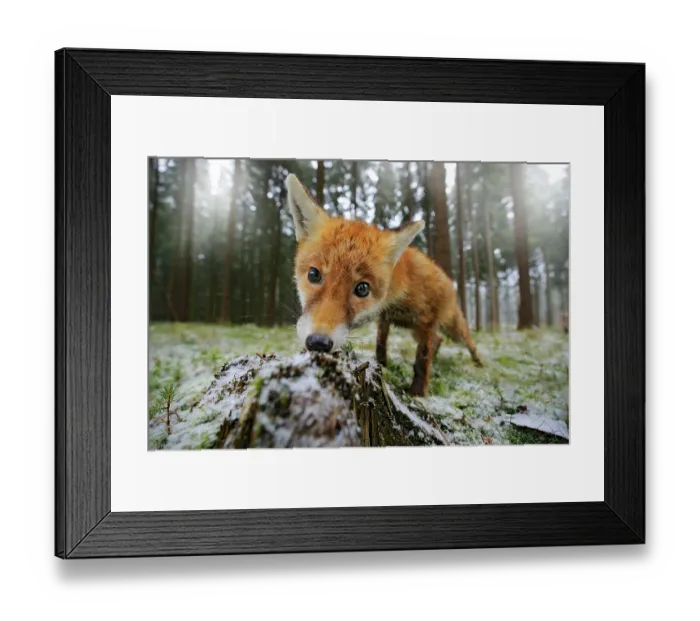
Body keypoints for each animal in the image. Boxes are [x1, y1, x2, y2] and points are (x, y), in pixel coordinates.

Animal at [286, 173, 482, 397]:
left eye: (362, 288)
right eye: (313, 274)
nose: (318, 342)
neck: (395, 299)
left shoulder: (427, 320)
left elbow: (422, 361)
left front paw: (417, 393)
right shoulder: (386, 319)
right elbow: (381, 344)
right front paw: (382, 365)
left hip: (452, 329)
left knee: (467, 342)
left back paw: (479, 365)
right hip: (418, 331)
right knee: (438, 339)